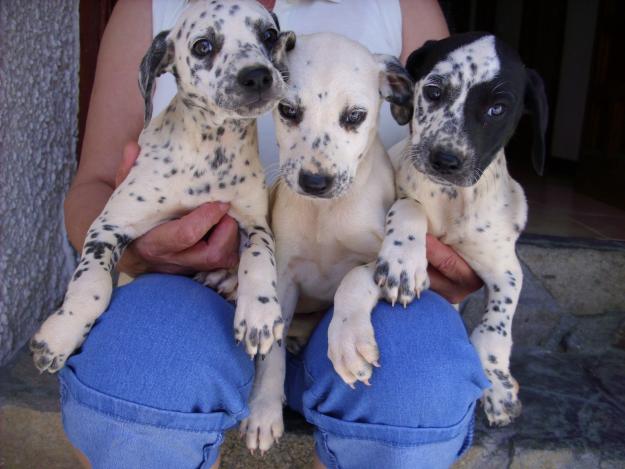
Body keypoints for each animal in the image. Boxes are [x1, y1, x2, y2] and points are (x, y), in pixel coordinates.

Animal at [31, 0, 298, 372]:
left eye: (269, 35)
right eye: (203, 46)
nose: (257, 75)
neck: (210, 152)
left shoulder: (254, 224)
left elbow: (259, 259)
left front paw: (259, 312)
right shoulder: (109, 225)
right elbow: (90, 282)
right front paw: (60, 334)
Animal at [236, 32, 412, 450]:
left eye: (355, 116)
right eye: (287, 110)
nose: (315, 182)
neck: (325, 213)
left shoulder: (375, 260)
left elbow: (353, 278)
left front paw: (346, 340)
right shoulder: (283, 278)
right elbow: (270, 352)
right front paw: (263, 409)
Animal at [372, 33, 544, 424]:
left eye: (497, 109)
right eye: (434, 91)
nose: (445, 160)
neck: (450, 200)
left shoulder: (503, 267)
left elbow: (493, 327)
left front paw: (498, 387)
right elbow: (409, 206)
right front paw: (403, 263)